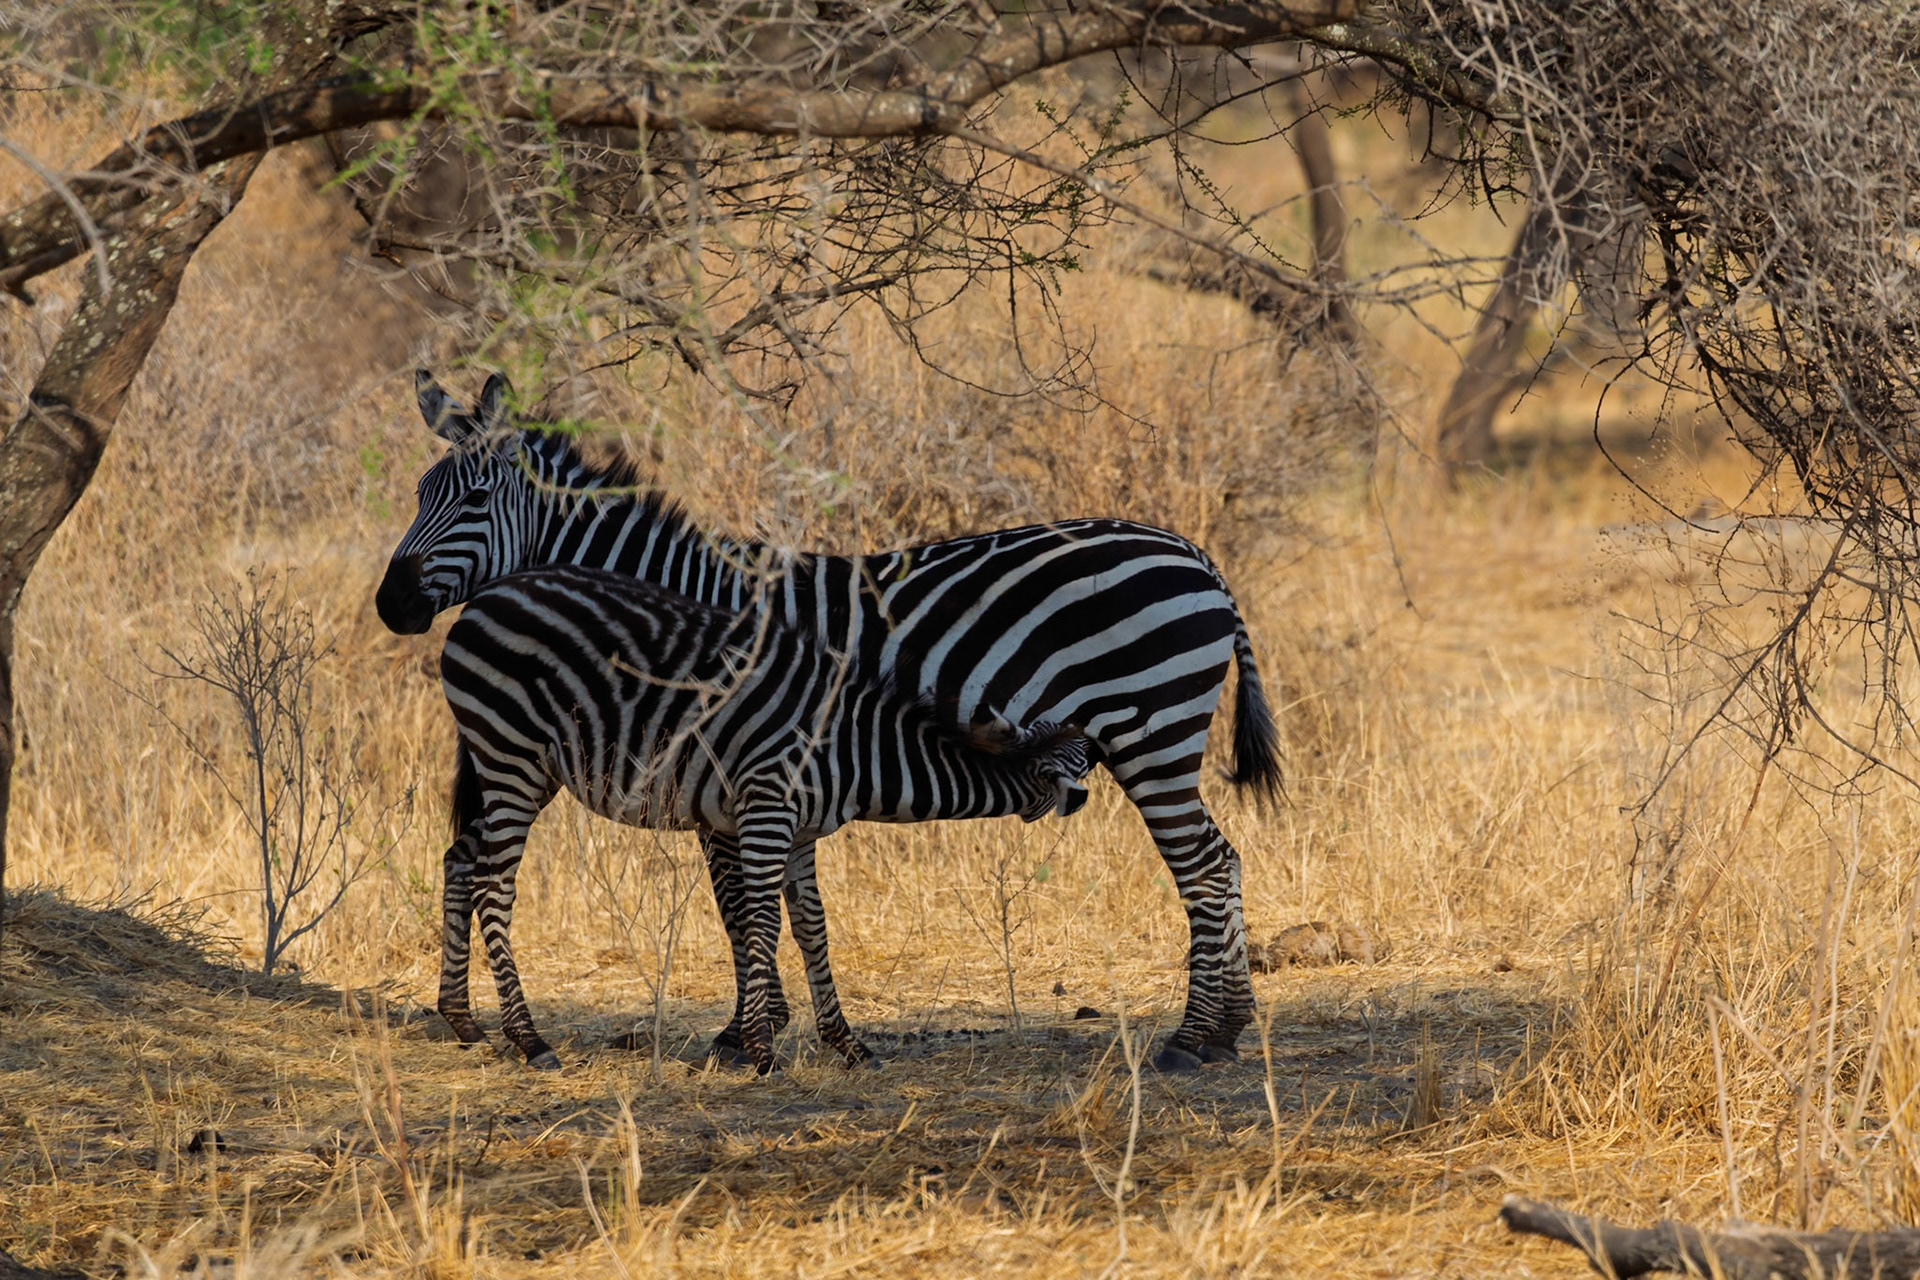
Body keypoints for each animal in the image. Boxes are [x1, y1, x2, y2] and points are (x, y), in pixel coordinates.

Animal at [439, 564, 1094, 1072]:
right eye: (1083, 760)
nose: (1097, 742)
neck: (856, 746)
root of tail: (490, 594)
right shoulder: (766, 808)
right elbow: (759, 921)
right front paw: (758, 1048)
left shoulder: (802, 831)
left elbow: (810, 925)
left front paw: (846, 1044)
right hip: (511, 755)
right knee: (494, 887)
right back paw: (529, 1040)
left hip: (522, 769)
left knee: (460, 861)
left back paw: (464, 1022)